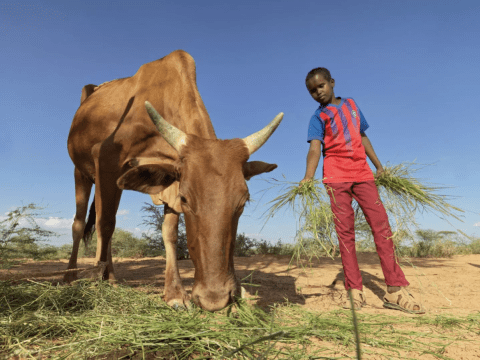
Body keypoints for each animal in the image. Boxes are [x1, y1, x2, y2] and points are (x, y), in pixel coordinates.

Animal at [63, 49, 282, 310]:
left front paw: (175, 293)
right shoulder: (107, 159)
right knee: (80, 224)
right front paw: (101, 282)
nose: (215, 299)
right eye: (186, 199)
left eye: (243, 202)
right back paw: (72, 276)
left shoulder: (169, 180)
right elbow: (104, 224)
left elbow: (169, 233)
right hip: (82, 172)